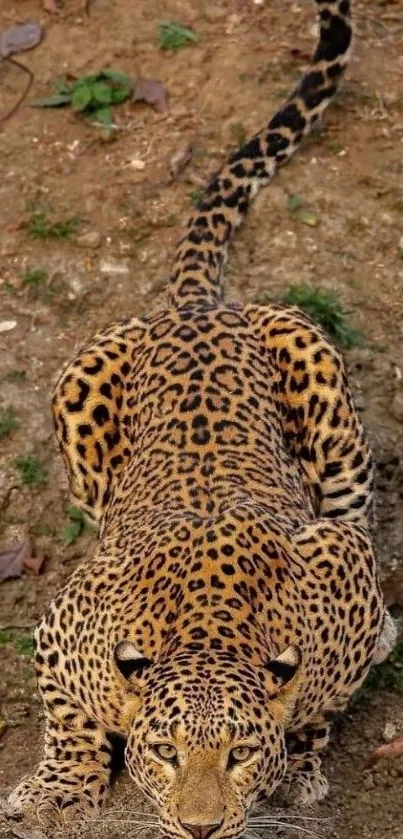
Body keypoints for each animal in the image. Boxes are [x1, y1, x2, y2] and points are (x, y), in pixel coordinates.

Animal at [6, 1, 398, 839]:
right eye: (164, 751)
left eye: (240, 754)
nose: (199, 827)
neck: (207, 631)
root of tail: (194, 304)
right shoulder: (62, 628)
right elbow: (69, 718)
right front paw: (58, 788)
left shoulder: (338, 576)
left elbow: (315, 710)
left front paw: (299, 766)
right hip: (77, 394)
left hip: (320, 376)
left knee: (355, 506)